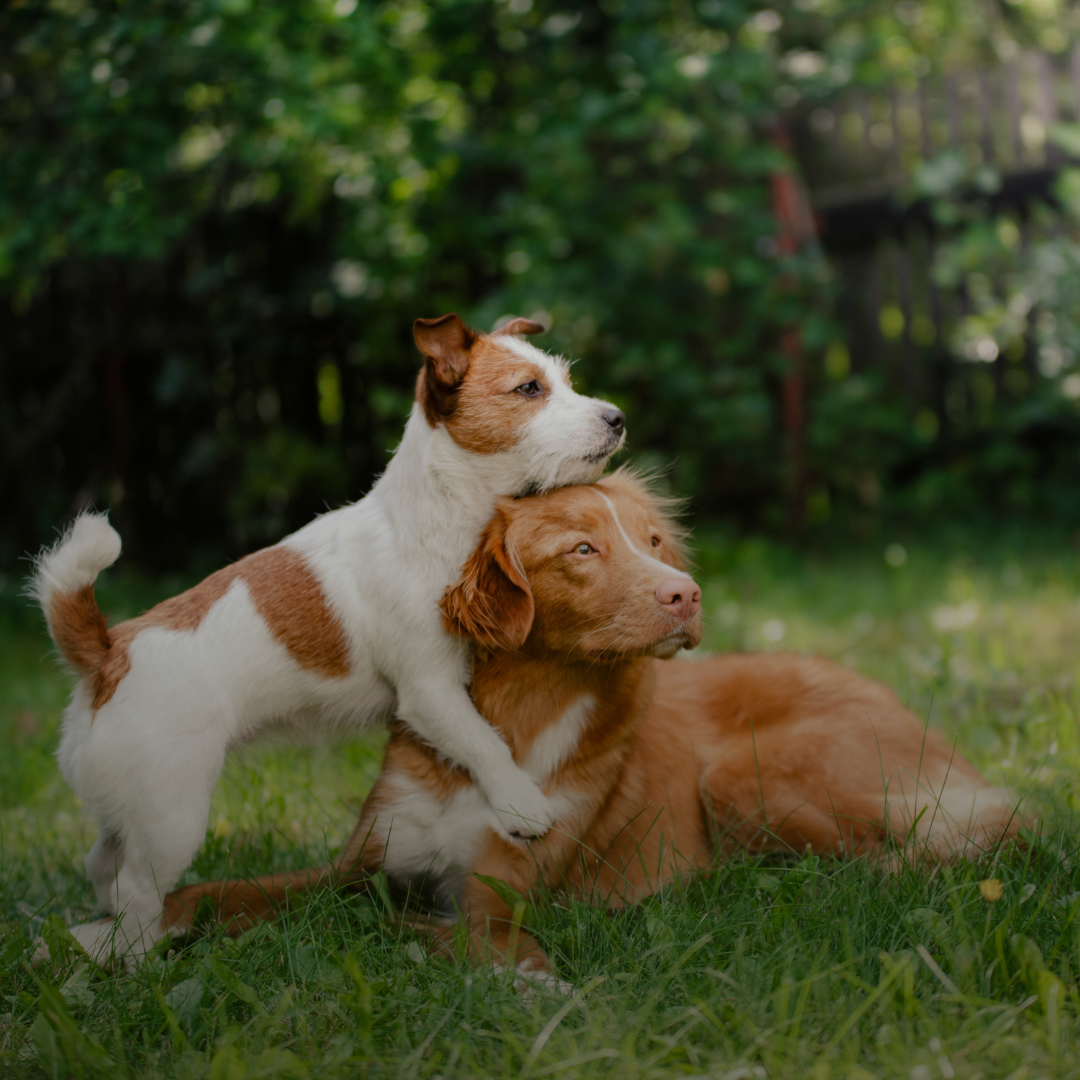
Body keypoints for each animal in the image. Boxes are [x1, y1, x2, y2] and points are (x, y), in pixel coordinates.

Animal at [31, 313, 626, 963]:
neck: (436, 517)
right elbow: (483, 743)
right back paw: (140, 961)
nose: (617, 417)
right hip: (173, 817)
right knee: (136, 893)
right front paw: (522, 804)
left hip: (130, 808)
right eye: (528, 389)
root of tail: (107, 654)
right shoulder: (430, 690)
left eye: (567, 381)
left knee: (103, 862)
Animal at [166, 473, 1019, 980]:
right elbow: (225, 890)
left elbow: (448, 931)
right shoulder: (361, 864)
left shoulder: (498, 894)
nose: (688, 594)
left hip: (742, 776)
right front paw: (146, 927)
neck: (516, 719)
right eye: (582, 549)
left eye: (653, 541)